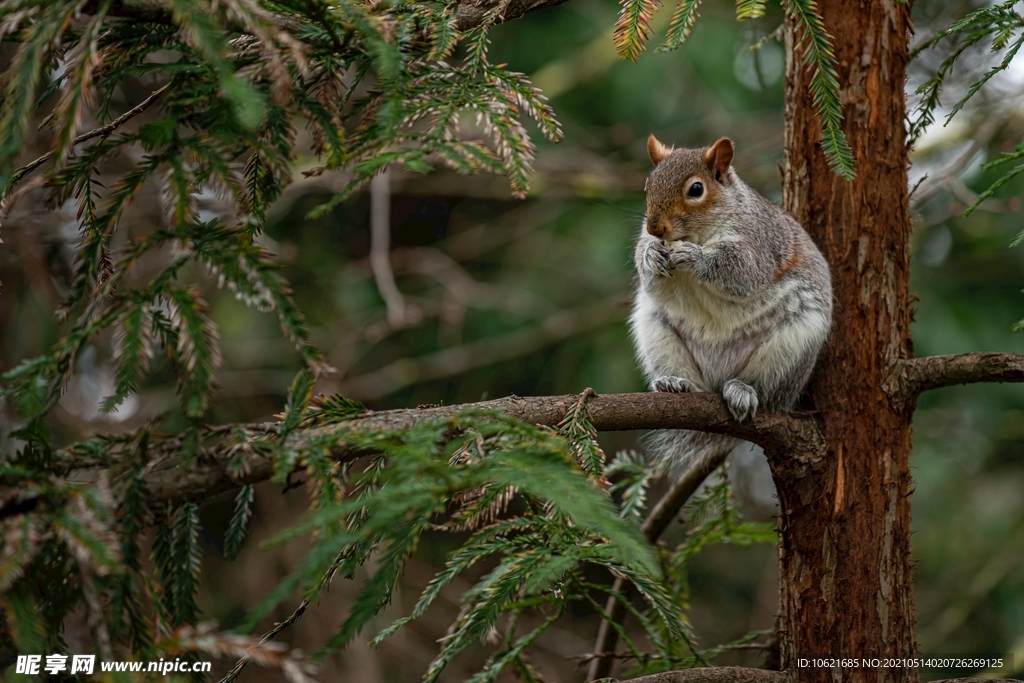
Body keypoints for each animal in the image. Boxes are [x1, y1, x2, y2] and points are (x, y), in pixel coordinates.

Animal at [630, 134, 831, 464]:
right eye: (648, 186)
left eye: (696, 189)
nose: (654, 228)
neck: (698, 234)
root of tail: (717, 378)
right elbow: (652, 281)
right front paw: (650, 255)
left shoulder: (758, 242)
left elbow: (741, 271)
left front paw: (694, 257)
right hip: (656, 331)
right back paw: (675, 384)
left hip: (795, 341)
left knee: (768, 391)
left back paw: (742, 390)